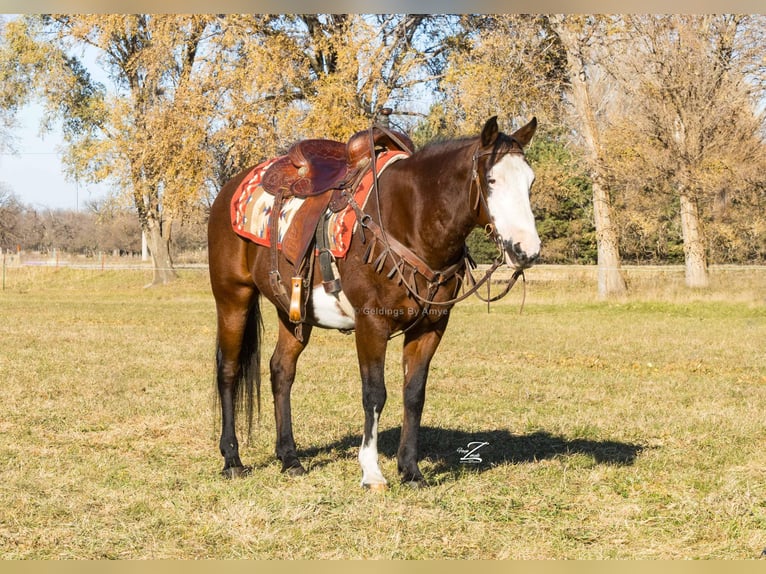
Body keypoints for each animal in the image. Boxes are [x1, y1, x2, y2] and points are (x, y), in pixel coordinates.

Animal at [207, 116, 541, 488]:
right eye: (492, 180)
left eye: (530, 182)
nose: (527, 251)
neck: (409, 220)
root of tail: (228, 189)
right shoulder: (371, 324)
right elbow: (374, 393)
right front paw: (372, 471)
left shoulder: (431, 327)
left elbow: (414, 394)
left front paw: (410, 470)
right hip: (233, 297)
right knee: (228, 370)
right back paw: (232, 459)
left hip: (291, 312)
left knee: (281, 371)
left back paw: (290, 458)